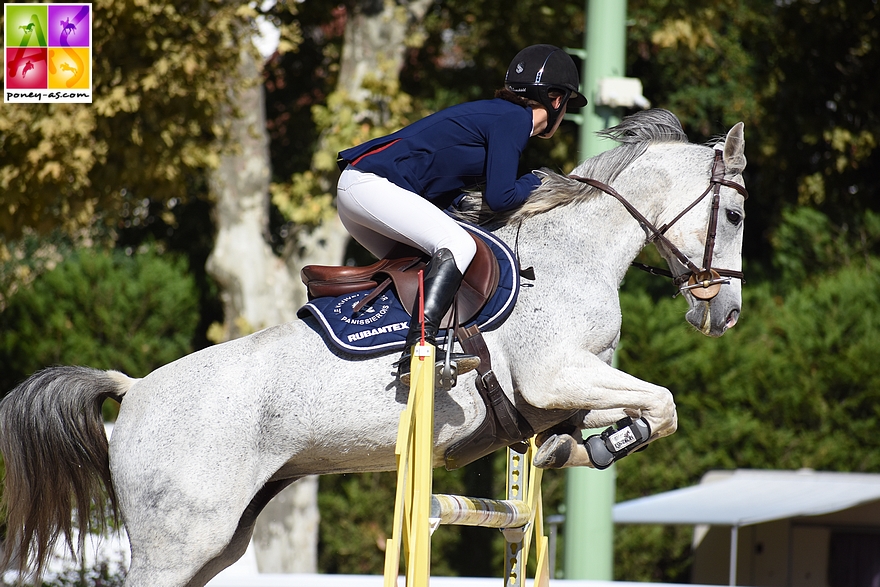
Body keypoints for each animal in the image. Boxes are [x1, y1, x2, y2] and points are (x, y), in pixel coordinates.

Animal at [0, 109, 744, 587]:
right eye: (734, 215)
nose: (726, 313)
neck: (573, 253)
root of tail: (133, 390)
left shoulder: (567, 387)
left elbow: (621, 412)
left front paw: (572, 447)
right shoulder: (554, 374)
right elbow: (663, 403)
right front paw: (605, 445)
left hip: (220, 539)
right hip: (175, 543)